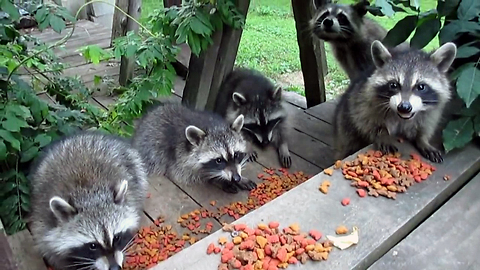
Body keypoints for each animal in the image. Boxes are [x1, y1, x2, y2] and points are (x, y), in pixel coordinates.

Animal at [27, 131, 147, 270]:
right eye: (93, 246)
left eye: (116, 237)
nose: (115, 268)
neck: (89, 195)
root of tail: (85, 135)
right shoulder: (43, 219)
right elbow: (49, 247)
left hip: (134, 165)